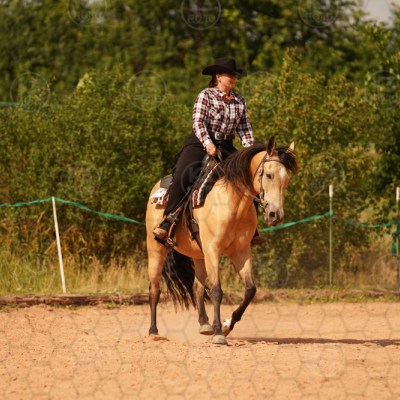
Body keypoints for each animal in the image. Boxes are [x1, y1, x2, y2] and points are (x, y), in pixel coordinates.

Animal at [145, 137, 297, 345]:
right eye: (268, 175)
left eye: (287, 178)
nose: (276, 214)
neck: (232, 202)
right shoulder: (213, 250)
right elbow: (217, 291)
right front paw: (219, 333)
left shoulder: (241, 252)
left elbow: (250, 290)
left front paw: (226, 326)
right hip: (156, 250)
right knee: (155, 289)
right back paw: (153, 331)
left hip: (198, 255)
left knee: (197, 288)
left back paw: (204, 324)